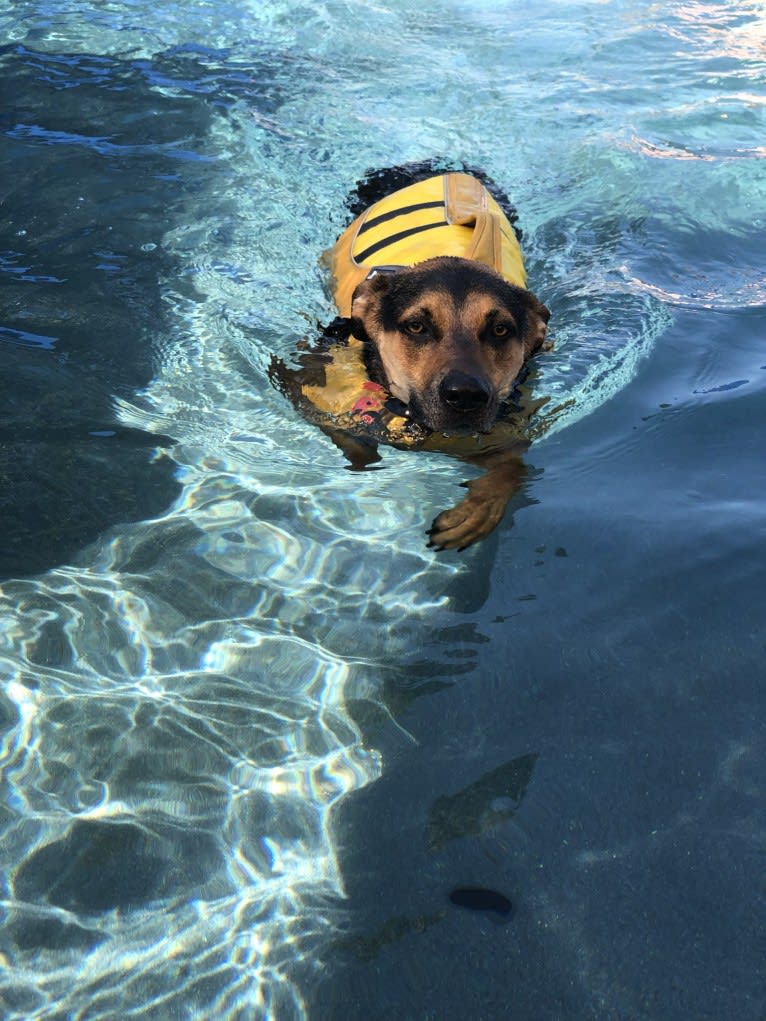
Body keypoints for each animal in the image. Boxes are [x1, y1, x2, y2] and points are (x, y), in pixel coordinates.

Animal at [269, 163, 551, 551]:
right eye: (416, 326)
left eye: (500, 330)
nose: (465, 396)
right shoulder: (304, 388)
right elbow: (355, 446)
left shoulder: (510, 424)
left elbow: (512, 468)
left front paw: (475, 512)